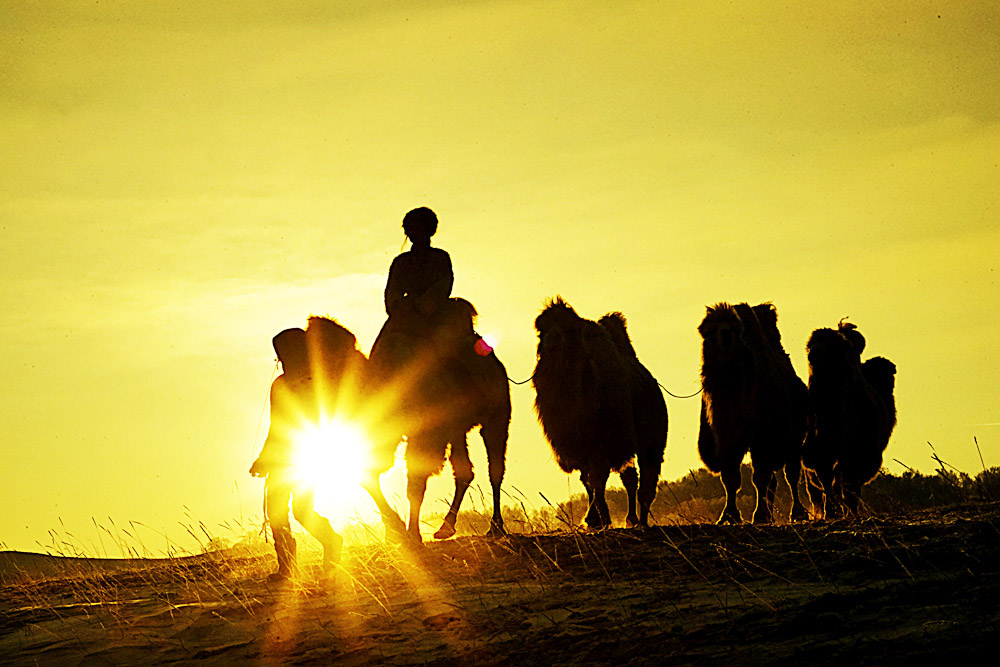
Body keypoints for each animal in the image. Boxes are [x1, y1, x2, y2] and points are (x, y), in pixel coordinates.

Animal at [368, 298, 512, 544]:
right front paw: (397, 531)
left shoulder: (426, 434)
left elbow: (415, 482)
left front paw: (411, 533)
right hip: (456, 430)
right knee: (465, 471)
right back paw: (446, 527)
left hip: (496, 417)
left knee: (495, 469)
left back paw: (496, 526)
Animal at [536, 298, 668, 528]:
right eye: (541, 333)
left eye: (561, 333)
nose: (547, 346)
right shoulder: (577, 447)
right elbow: (587, 480)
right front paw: (594, 519)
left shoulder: (603, 442)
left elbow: (597, 479)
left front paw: (601, 518)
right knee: (630, 477)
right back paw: (631, 519)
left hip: (651, 442)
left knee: (646, 478)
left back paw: (641, 521)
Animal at [700, 304, 808, 528]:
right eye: (708, 331)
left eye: (736, 329)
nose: (726, 336)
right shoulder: (726, 437)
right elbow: (730, 477)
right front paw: (729, 515)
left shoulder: (762, 437)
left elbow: (759, 477)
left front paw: (758, 516)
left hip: (792, 438)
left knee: (791, 473)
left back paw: (798, 512)